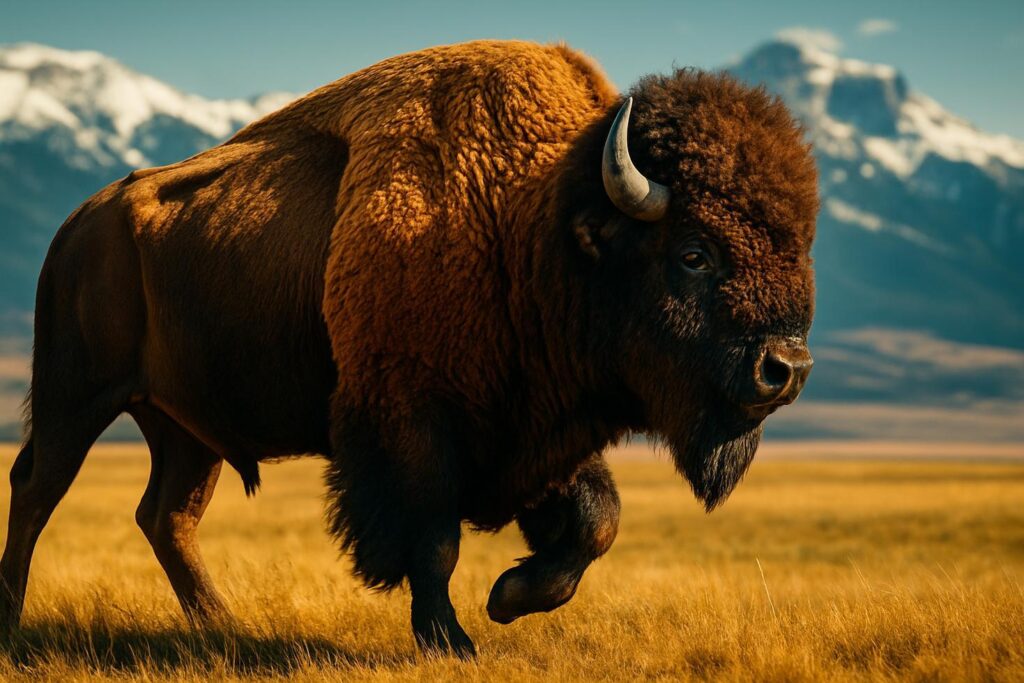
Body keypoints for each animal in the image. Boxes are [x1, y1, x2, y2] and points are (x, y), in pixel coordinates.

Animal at [0, 40, 816, 657]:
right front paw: (452, 637)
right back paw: (14, 620)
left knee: (166, 516)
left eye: (799, 245)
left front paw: (508, 597)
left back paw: (223, 627)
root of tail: (79, 223)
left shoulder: (539, 430)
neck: (531, 225)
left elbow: (597, 520)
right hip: (78, 395)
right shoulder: (413, 423)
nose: (787, 369)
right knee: (38, 487)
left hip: (185, 428)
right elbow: (434, 540)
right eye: (693, 253)